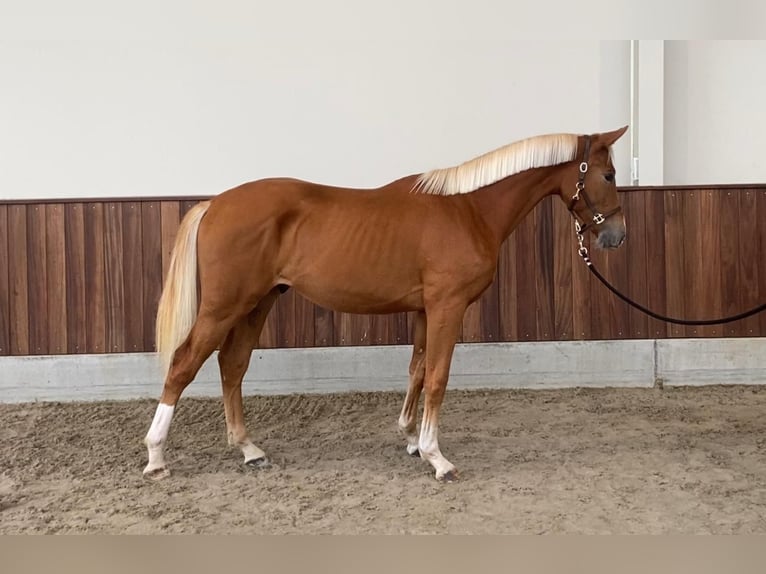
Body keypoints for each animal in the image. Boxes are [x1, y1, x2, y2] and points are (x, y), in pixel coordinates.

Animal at [144, 126, 632, 482]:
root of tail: (214, 204)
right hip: (224, 306)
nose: (616, 236)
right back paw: (156, 457)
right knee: (184, 363)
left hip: (257, 303)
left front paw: (412, 440)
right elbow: (437, 377)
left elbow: (416, 370)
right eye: (608, 175)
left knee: (233, 364)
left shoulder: (424, 310)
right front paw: (437, 458)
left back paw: (249, 450)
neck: (468, 209)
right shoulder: (448, 306)